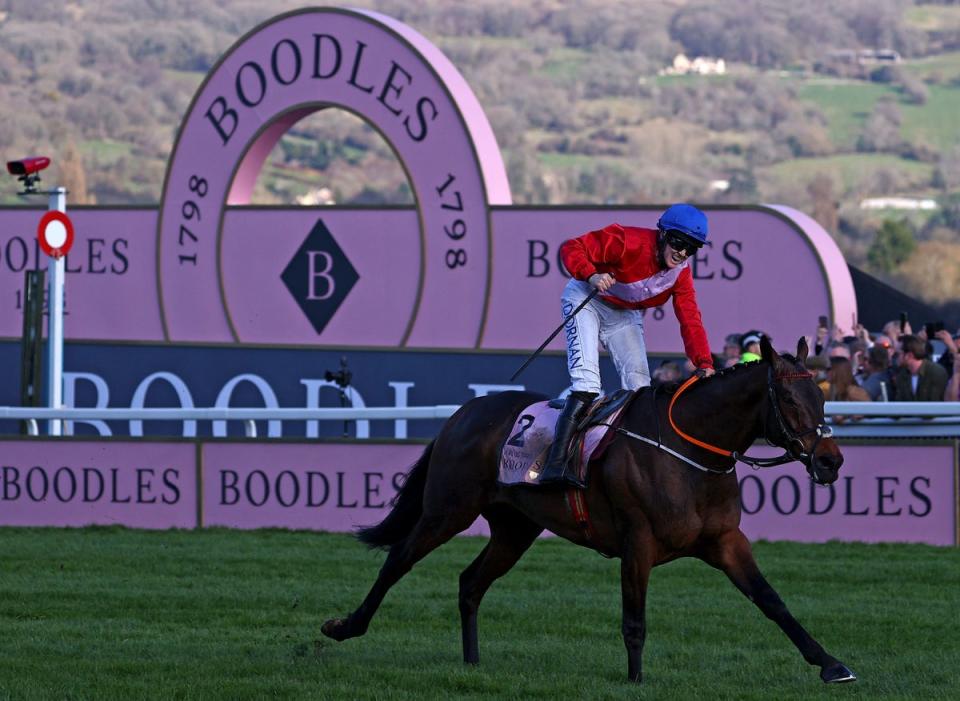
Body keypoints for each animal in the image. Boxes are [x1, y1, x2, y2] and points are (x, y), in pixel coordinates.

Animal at [322, 336, 856, 680]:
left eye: (820, 395)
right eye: (789, 398)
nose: (830, 461)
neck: (690, 454)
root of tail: (462, 414)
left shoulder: (725, 541)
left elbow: (772, 600)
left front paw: (831, 664)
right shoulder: (637, 541)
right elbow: (634, 620)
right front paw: (636, 681)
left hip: (514, 528)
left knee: (470, 582)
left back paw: (472, 665)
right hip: (448, 509)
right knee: (398, 560)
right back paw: (345, 626)